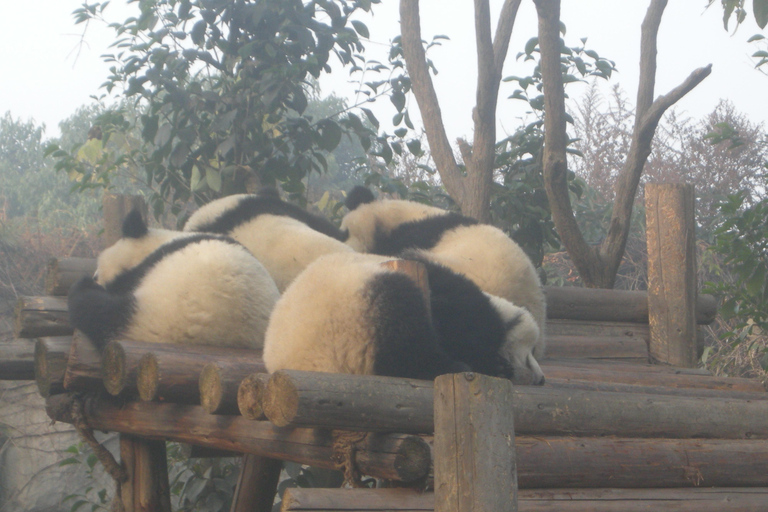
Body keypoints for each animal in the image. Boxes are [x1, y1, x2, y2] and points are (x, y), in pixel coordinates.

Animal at [68, 209, 280, 350]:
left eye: (99, 272)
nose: (95, 277)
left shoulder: (145, 268)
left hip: (150, 315)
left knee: (96, 309)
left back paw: (85, 288)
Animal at [263, 251, 543, 384]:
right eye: (530, 353)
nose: (541, 379)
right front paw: (495, 364)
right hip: (353, 315)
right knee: (403, 339)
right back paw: (451, 366)